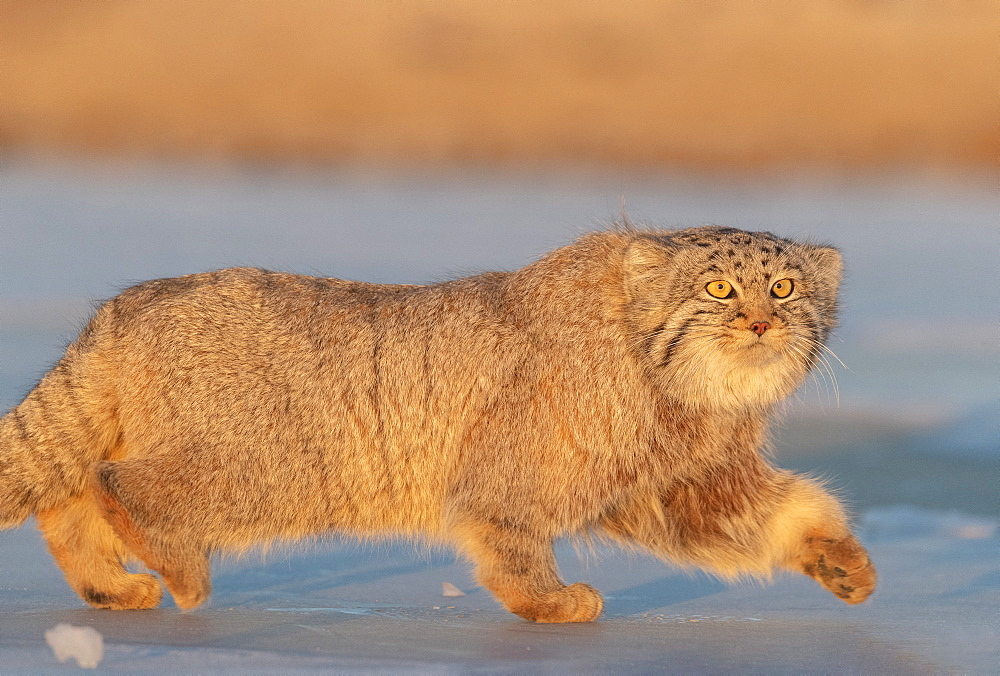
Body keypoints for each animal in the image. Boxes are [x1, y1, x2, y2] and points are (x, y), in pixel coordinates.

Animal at [0, 226, 872, 616]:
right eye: (720, 289)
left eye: (786, 288)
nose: (762, 323)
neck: (671, 390)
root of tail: (122, 309)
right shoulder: (514, 478)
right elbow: (511, 544)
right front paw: (549, 603)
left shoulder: (668, 484)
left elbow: (772, 515)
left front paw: (839, 559)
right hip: (261, 465)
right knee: (117, 486)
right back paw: (178, 572)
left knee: (69, 497)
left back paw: (110, 586)